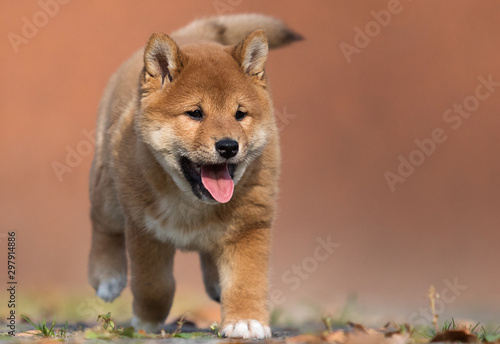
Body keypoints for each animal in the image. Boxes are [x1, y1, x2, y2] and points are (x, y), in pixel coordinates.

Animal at [87, 13, 300, 338]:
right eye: (195, 113)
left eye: (240, 114)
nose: (228, 146)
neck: (193, 206)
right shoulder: (144, 227)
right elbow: (154, 284)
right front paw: (147, 321)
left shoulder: (250, 223)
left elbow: (246, 280)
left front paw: (246, 321)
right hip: (108, 190)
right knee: (103, 226)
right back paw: (107, 277)